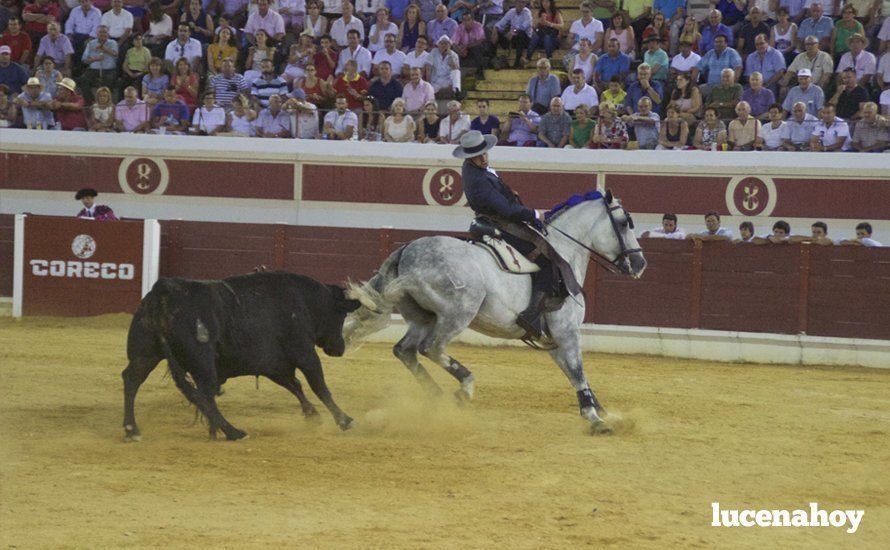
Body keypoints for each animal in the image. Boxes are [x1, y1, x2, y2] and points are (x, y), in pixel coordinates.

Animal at [121, 272, 360, 444]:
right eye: (341, 315)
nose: (340, 348)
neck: (306, 302)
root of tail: (163, 292)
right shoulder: (304, 353)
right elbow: (319, 386)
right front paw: (345, 420)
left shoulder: (274, 365)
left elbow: (295, 385)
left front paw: (312, 415)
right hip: (203, 361)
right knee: (204, 394)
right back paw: (232, 432)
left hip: (145, 354)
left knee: (132, 379)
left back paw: (132, 429)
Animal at [344, 192, 640, 434]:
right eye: (625, 222)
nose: (640, 263)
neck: (565, 253)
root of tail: (406, 250)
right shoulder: (566, 331)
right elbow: (577, 371)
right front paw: (595, 420)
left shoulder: (553, 338)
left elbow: (575, 373)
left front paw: (603, 413)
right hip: (458, 313)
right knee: (432, 348)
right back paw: (464, 389)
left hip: (423, 317)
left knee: (405, 350)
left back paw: (437, 397)